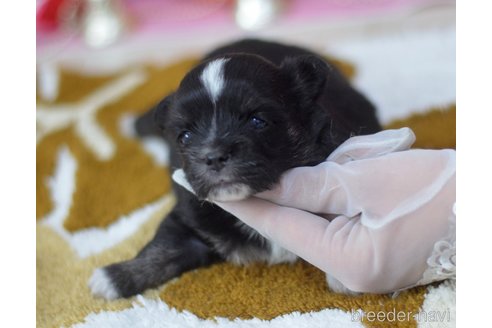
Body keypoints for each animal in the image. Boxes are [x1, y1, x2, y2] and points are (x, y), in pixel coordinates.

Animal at [88, 39, 380, 298]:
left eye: (257, 121)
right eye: (184, 136)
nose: (214, 157)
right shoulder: (189, 217)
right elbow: (160, 249)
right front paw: (114, 278)